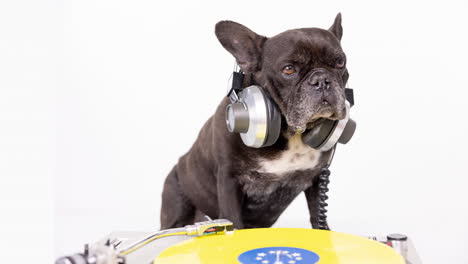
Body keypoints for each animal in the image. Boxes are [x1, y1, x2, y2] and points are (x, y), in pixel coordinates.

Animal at [160, 13, 348, 230]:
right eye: (289, 69)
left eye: (340, 63)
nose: (322, 80)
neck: (290, 133)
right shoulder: (229, 181)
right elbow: (233, 221)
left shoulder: (318, 179)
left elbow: (318, 217)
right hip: (176, 202)